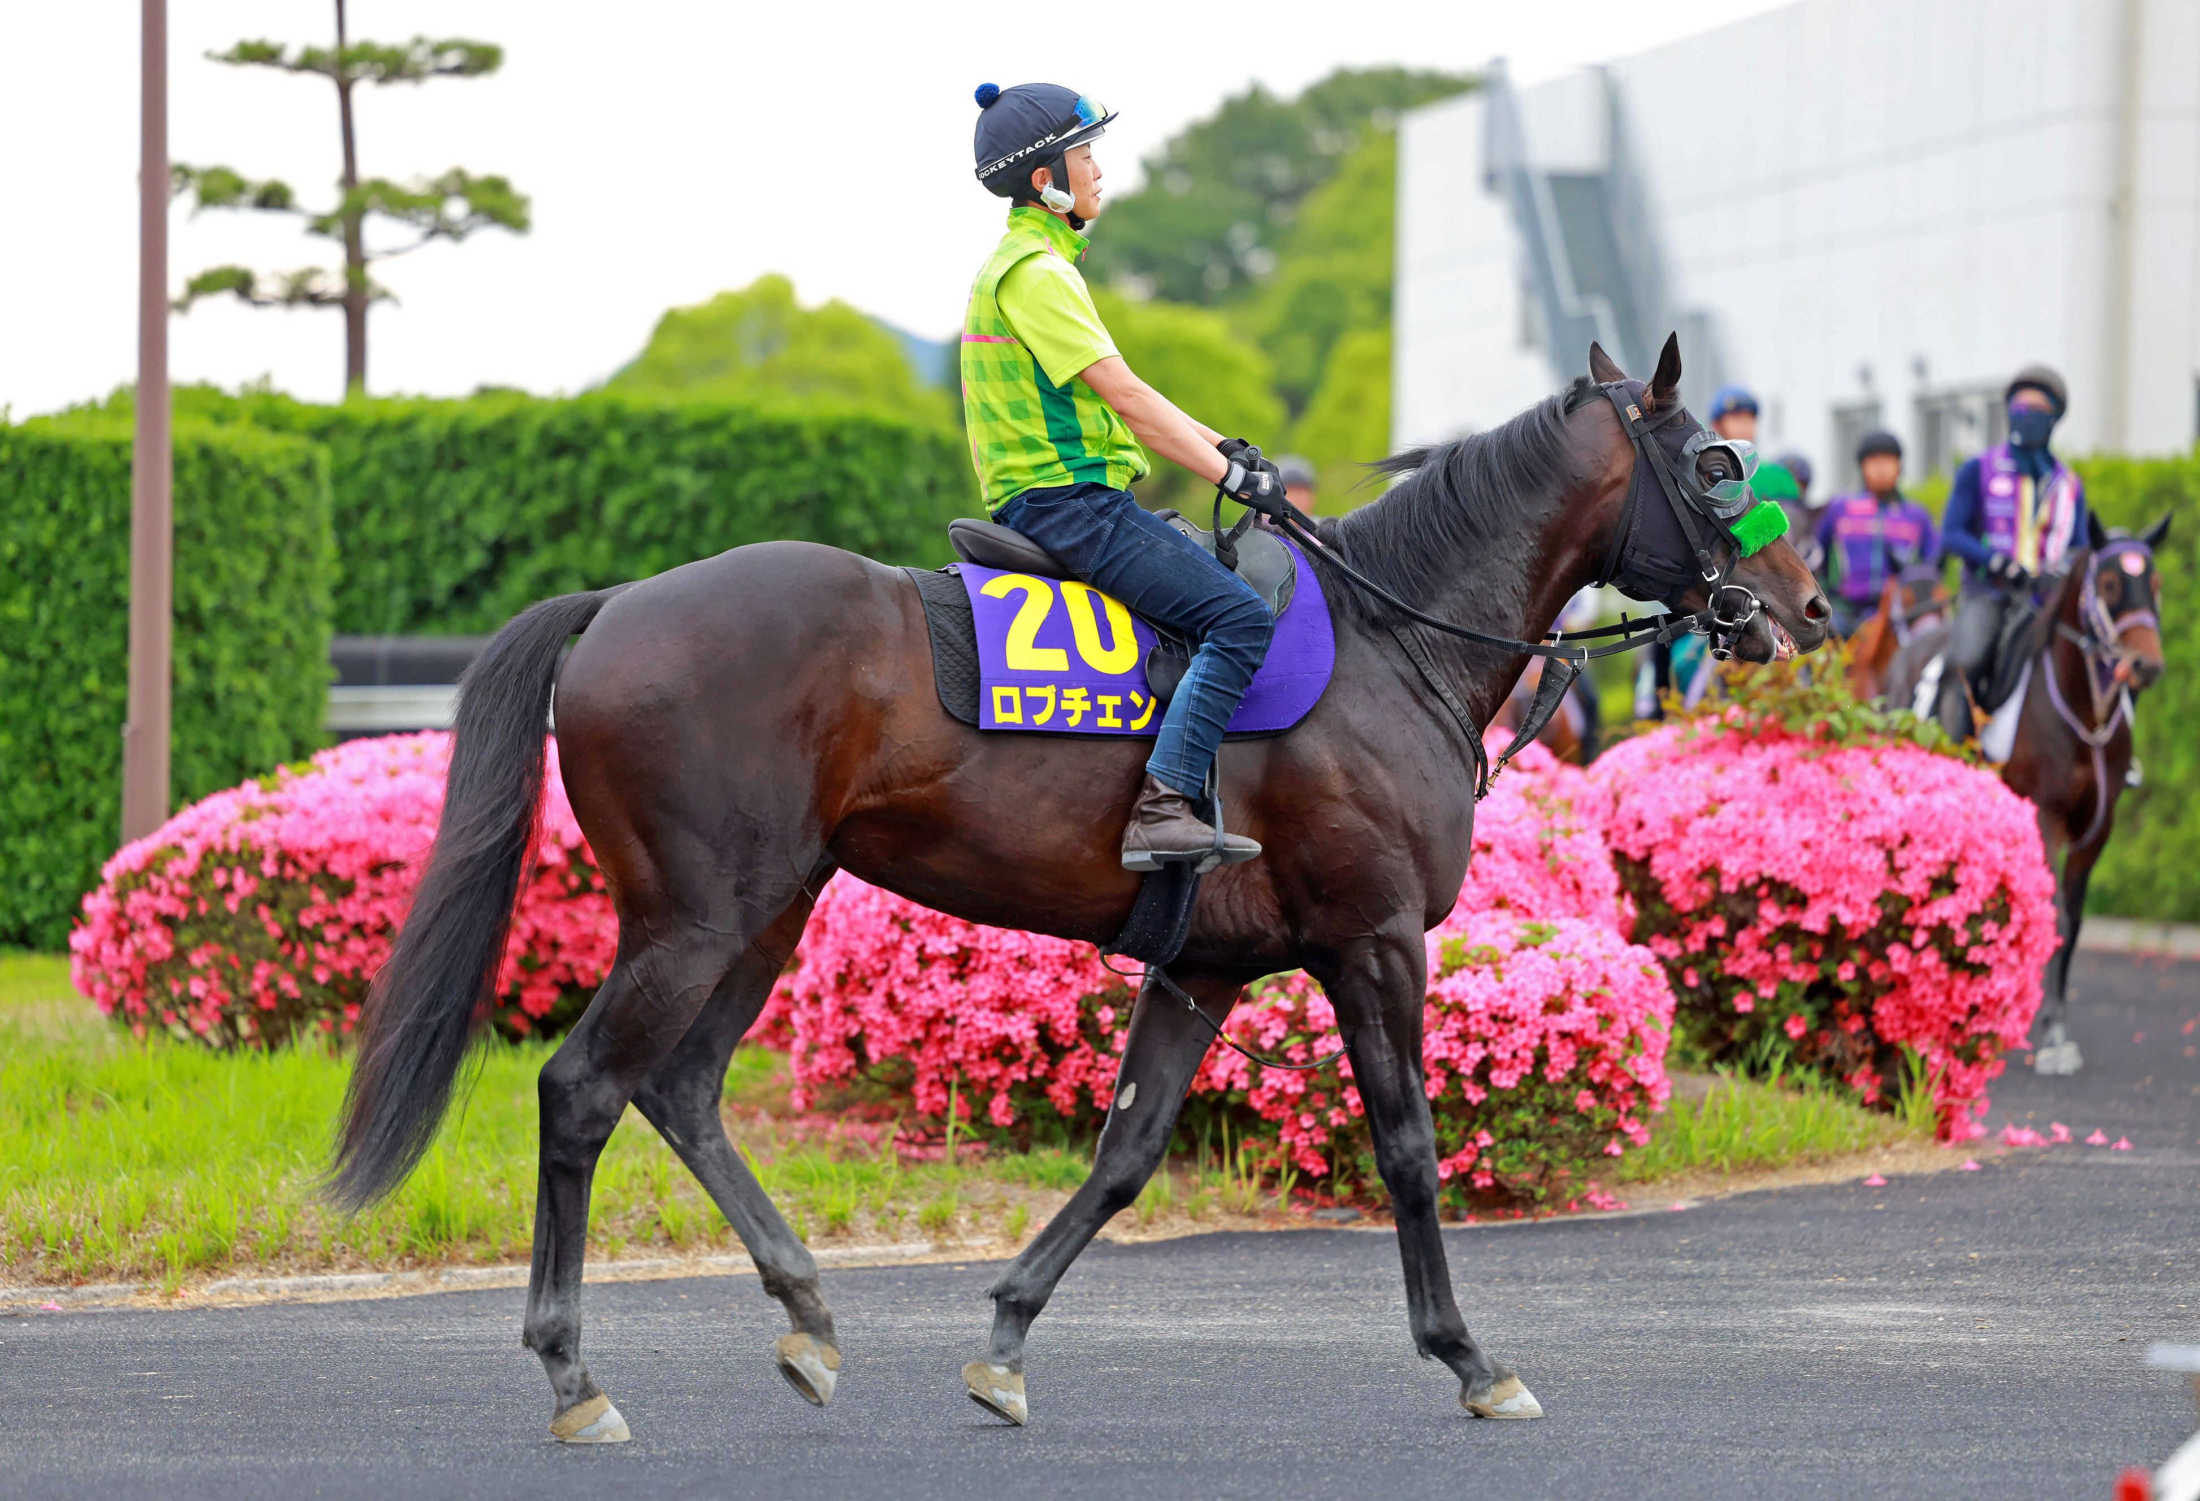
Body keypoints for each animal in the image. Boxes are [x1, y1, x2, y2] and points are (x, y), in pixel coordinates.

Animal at [330, 336, 1832, 1443]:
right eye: (1715, 462)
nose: (1805, 608)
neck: (1388, 638)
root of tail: (619, 604)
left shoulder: (1201, 963)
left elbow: (1125, 1151)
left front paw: (1003, 1338)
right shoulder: (1376, 939)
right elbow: (1409, 1147)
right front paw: (1470, 1356)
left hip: (766, 908)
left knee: (684, 1089)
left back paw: (807, 1314)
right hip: (699, 916)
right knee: (584, 1090)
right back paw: (574, 1375)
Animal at [1885, 514, 2168, 1073]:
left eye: (2155, 582)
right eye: (2108, 584)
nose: (2145, 664)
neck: (2082, 716)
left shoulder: (2095, 831)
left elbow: (2070, 921)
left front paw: (2053, 1025)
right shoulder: (2045, 816)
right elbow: (2049, 911)